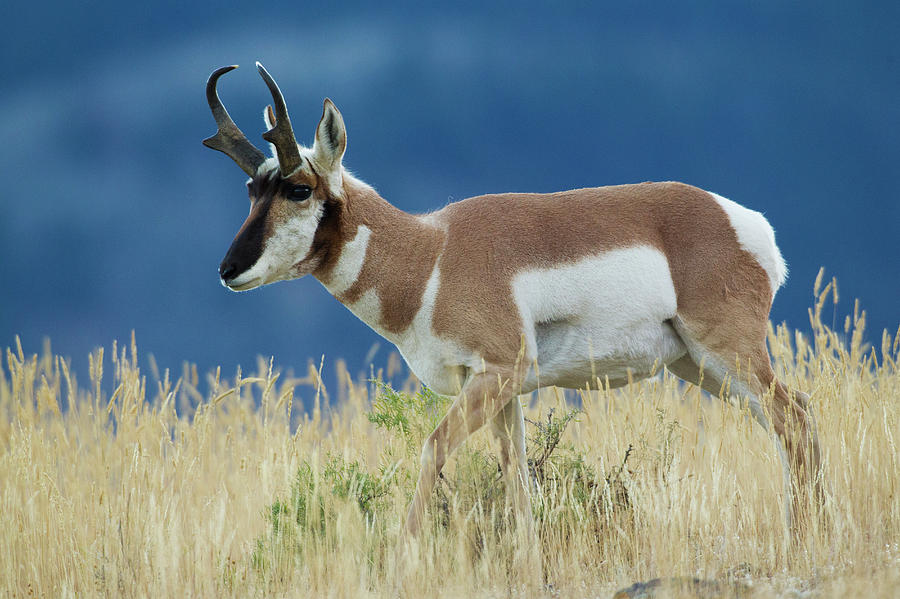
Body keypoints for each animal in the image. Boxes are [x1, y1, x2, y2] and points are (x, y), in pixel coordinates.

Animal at [204, 63, 824, 536]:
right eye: (252, 188)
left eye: (298, 188)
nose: (228, 270)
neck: (432, 253)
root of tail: (742, 222)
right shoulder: (501, 391)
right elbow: (517, 479)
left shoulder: (496, 374)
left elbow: (433, 448)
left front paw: (405, 552)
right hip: (698, 366)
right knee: (791, 416)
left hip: (727, 351)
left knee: (792, 415)